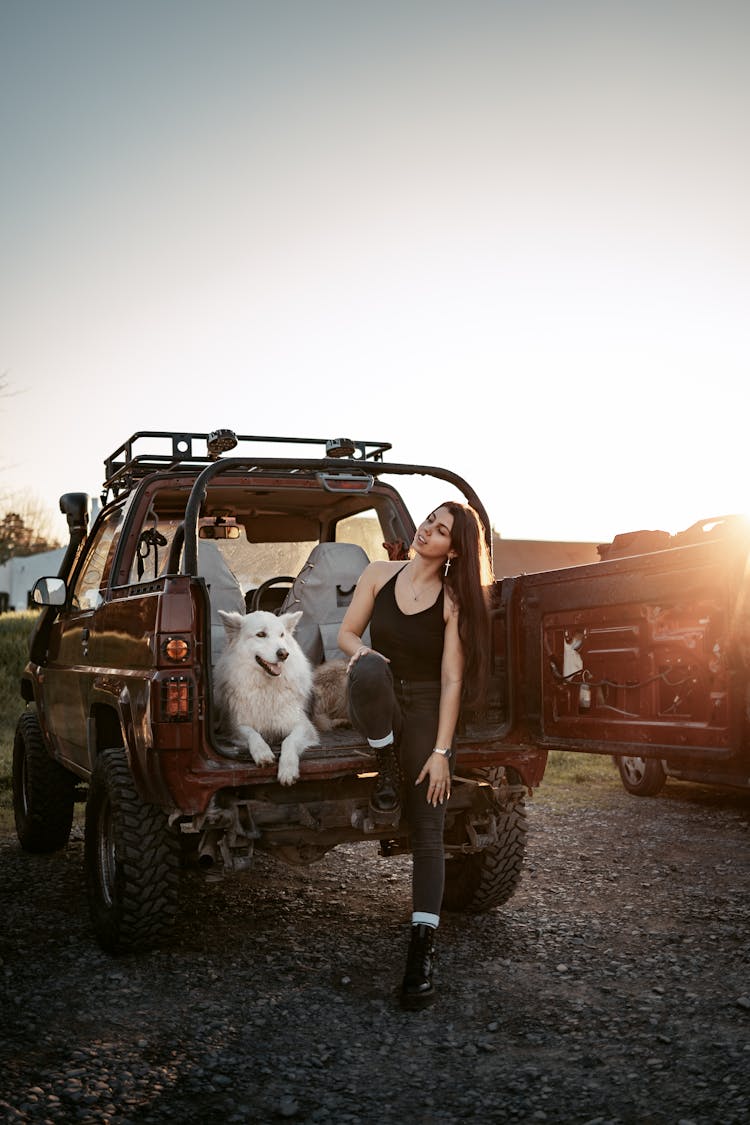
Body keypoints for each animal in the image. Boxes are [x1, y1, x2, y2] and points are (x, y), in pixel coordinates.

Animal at [212, 612, 319, 787]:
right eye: (261, 634)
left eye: (282, 635)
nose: (284, 653)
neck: (267, 687)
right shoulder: (236, 726)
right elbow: (253, 734)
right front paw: (263, 752)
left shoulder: (303, 726)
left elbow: (289, 741)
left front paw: (288, 770)